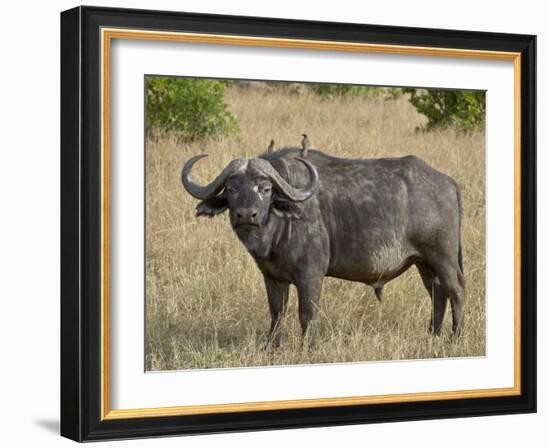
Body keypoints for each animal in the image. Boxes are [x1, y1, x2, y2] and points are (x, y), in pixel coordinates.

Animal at [182, 146, 466, 344]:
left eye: (265, 188)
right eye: (231, 189)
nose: (246, 215)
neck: (277, 232)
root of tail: (448, 183)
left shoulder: (310, 275)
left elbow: (306, 313)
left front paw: (307, 346)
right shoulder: (272, 277)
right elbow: (277, 312)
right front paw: (272, 346)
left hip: (443, 256)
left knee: (456, 291)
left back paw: (456, 338)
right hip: (423, 262)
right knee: (437, 294)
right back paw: (433, 335)